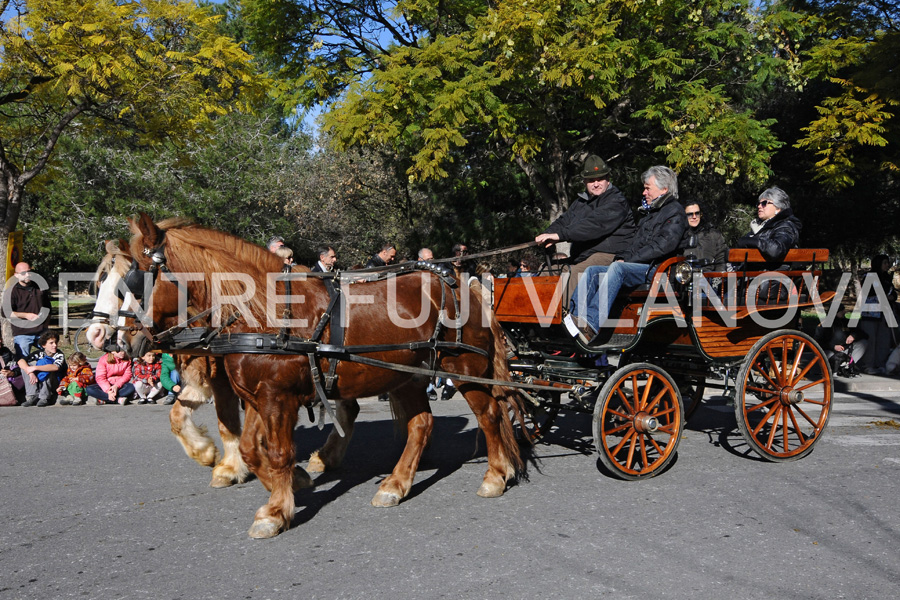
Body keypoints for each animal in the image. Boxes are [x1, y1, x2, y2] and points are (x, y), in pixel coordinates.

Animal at [123, 214, 524, 540]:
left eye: (137, 276)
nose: (124, 339)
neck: (264, 312)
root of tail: (464, 285)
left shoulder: (278, 397)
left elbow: (280, 452)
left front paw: (275, 511)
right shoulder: (257, 396)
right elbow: (252, 449)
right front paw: (293, 484)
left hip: (463, 370)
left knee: (488, 415)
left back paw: (495, 475)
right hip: (408, 375)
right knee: (421, 424)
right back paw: (396, 484)